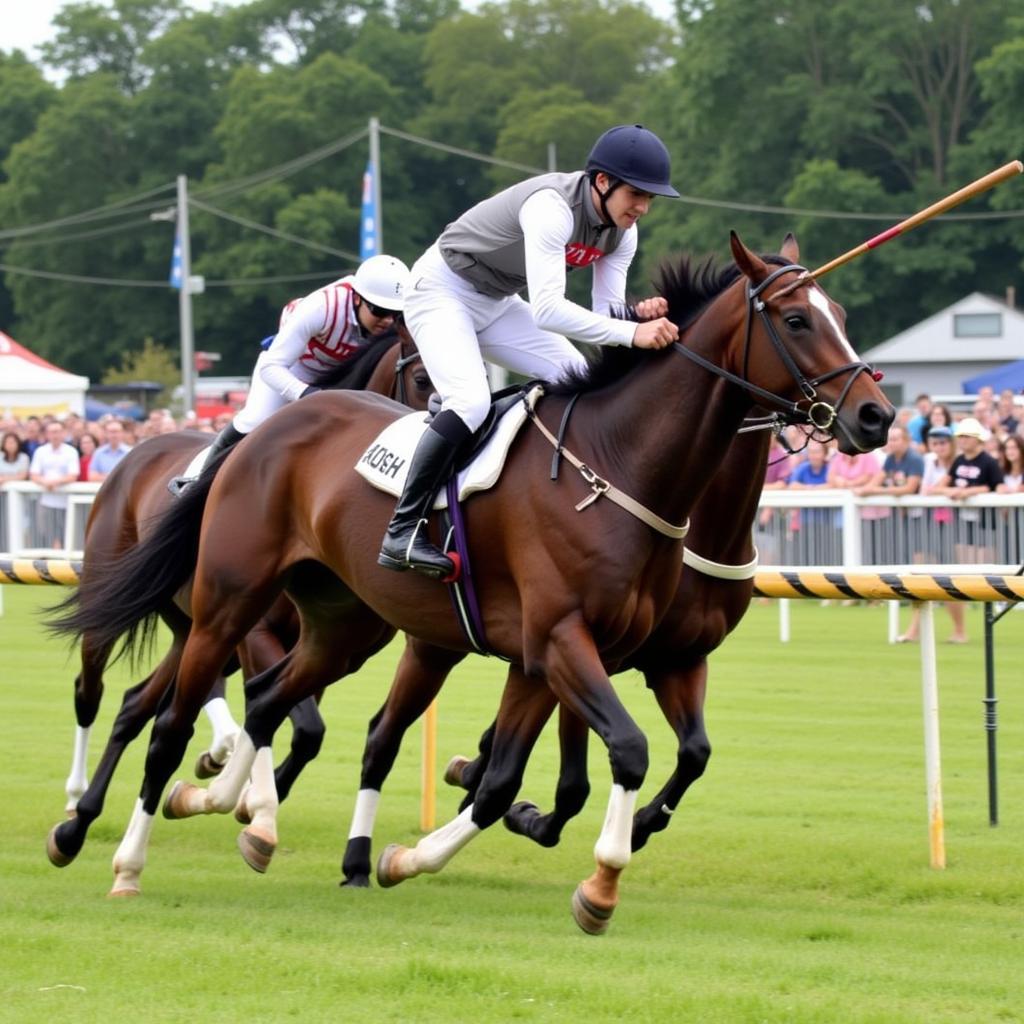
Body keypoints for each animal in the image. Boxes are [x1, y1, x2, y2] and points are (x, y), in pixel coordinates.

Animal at [45, 329, 423, 872]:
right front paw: (254, 805)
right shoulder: (257, 632)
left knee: (135, 706)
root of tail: (134, 454)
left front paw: (245, 800)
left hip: (190, 628)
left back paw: (79, 824)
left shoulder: (323, 641)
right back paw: (75, 799)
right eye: (421, 377)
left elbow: (298, 725)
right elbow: (292, 719)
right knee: (89, 689)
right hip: (121, 596)